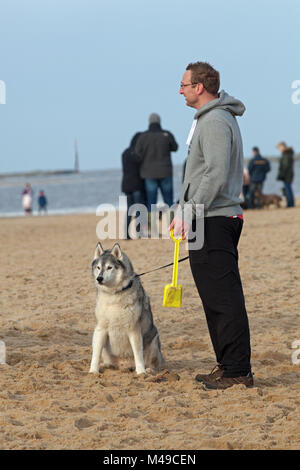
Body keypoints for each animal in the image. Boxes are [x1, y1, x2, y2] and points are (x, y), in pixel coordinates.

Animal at [89, 242, 164, 374]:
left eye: (109, 267)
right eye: (98, 267)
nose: (99, 278)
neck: (114, 295)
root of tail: (123, 366)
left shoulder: (133, 329)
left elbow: (138, 354)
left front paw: (141, 372)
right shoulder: (100, 328)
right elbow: (96, 354)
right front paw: (93, 371)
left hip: (154, 341)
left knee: (154, 364)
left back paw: (149, 370)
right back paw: (106, 365)